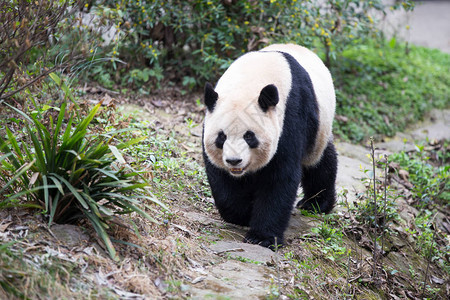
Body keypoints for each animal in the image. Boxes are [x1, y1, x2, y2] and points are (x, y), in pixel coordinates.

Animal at [202, 43, 336, 250]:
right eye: (221, 137)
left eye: (249, 136)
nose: (234, 161)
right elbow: (221, 178)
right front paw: (243, 213)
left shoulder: (291, 116)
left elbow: (280, 176)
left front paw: (261, 237)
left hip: (319, 128)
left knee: (320, 162)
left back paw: (315, 203)